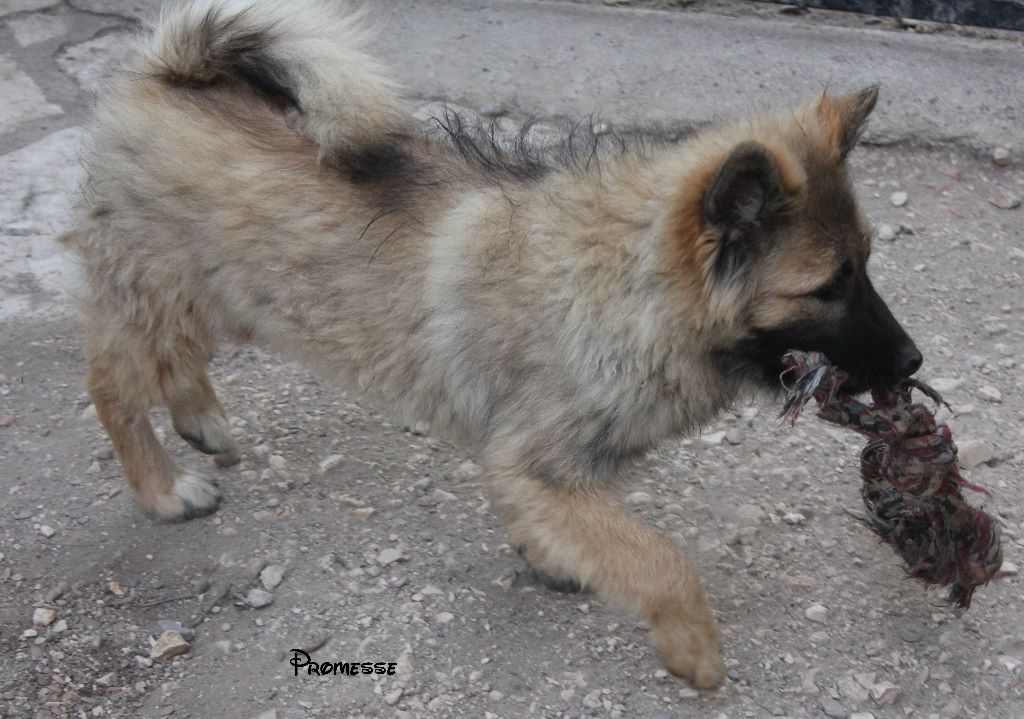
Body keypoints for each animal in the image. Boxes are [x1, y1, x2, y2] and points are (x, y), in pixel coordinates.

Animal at [61, 0, 929, 688]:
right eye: (827, 286)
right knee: (110, 382)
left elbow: (591, 537)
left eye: (867, 264)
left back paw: (201, 418)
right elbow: (662, 560)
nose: (914, 364)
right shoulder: (533, 460)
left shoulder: (544, 474)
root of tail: (165, 72)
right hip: (154, 285)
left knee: (177, 356)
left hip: (214, 292)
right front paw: (696, 650)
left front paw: (551, 558)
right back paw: (164, 487)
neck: (629, 284)